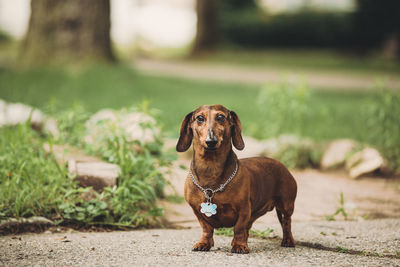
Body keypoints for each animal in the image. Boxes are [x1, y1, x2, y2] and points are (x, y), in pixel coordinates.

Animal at [176, 103, 296, 254]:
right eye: (200, 118)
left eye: (220, 117)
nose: (211, 141)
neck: (210, 170)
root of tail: (282, 165)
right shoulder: (197, 211)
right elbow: (206, 229)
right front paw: (204, 243)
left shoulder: (244, 209)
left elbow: (239, 228)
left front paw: (239, 245)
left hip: (286, 205)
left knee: (287, 222)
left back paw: (288, 240)